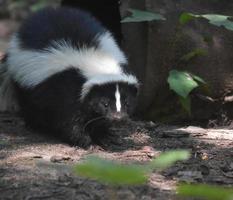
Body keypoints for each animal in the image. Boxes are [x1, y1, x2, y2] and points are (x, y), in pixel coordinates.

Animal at [0, 7, 138, 147]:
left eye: (127, 103)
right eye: (104, 103)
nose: (118, 118)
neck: (98, 61)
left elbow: (95, 117)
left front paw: (106, 136)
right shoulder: (64, 87)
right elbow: (69, 119)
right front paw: (84, 140)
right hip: (26, 83)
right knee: (31, 106)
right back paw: (37, 126)